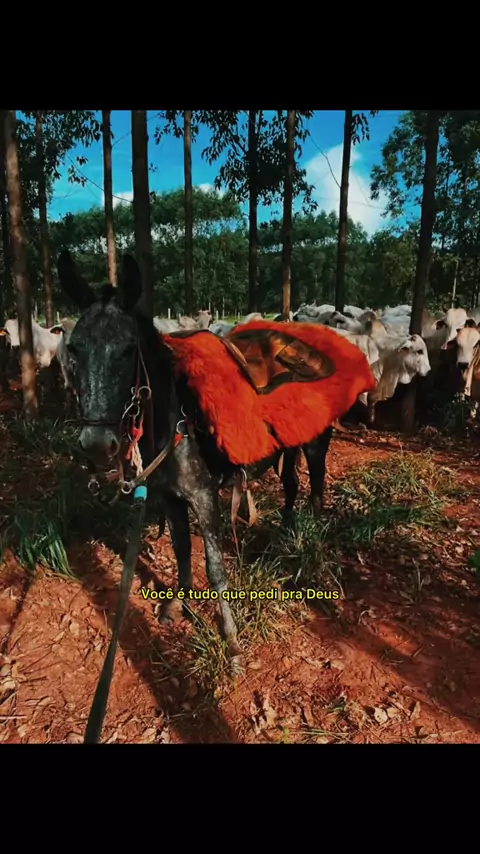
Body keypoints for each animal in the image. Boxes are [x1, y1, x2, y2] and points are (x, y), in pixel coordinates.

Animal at [57, 250, 374, 676]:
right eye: (74, 349)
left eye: (127, 350)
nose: (96, 444)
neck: (176, 420)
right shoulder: (169, 499)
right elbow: (181, 552)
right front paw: (177, 606)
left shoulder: (205, 498)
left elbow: (215, 568)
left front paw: (231, 640)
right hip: (288, 443)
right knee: (291, 485)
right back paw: (287, 533)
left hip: (315, 443)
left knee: (317, 489)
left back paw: (314, 546)